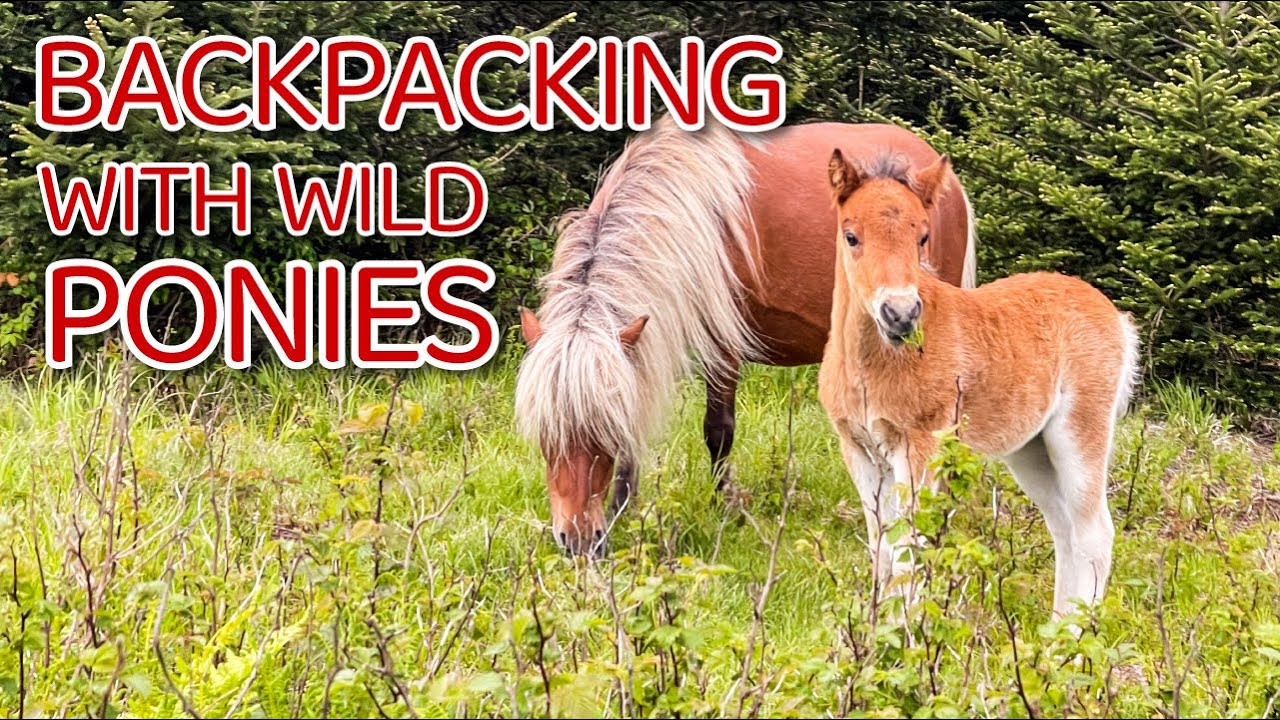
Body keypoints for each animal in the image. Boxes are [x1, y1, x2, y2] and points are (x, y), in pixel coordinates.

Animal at [516, 118, 978, 557]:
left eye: (599, 434)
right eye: (545, 433)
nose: (576, 539)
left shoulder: (721, 344)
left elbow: (717, 429)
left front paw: (724, 508)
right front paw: (621, 513)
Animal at [817, 148, 1139, 618]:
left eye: (923, 237)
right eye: (851, 236)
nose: (900, 314)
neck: (870, 367)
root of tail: (1116, 317)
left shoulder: (921, 444)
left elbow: (909, 549)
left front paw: (905, 633)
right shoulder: (857, 447)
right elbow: (883, 549)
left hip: (1081, 430)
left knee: (1094, 531)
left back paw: (1076, 633)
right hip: (1031, 449)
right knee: (1063, 530)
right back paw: (1053, 629)